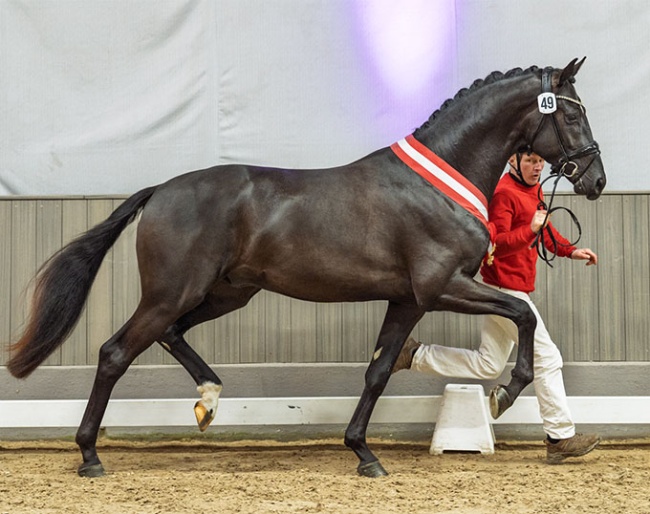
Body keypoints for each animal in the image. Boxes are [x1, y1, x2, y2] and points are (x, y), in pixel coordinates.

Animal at [7, 58, 605, 478]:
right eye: (573, 112)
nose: (596, 180)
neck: (439, 182)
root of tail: (161, 191)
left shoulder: (407, 299)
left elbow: (379, 371)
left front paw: (363, 453)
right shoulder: (442, 286)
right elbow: (522, 316)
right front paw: (505, 394)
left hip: (226, 292)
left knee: (170, 335)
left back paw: (208, 401)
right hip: (171, 292)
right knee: (115, 353)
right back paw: (90, 456)